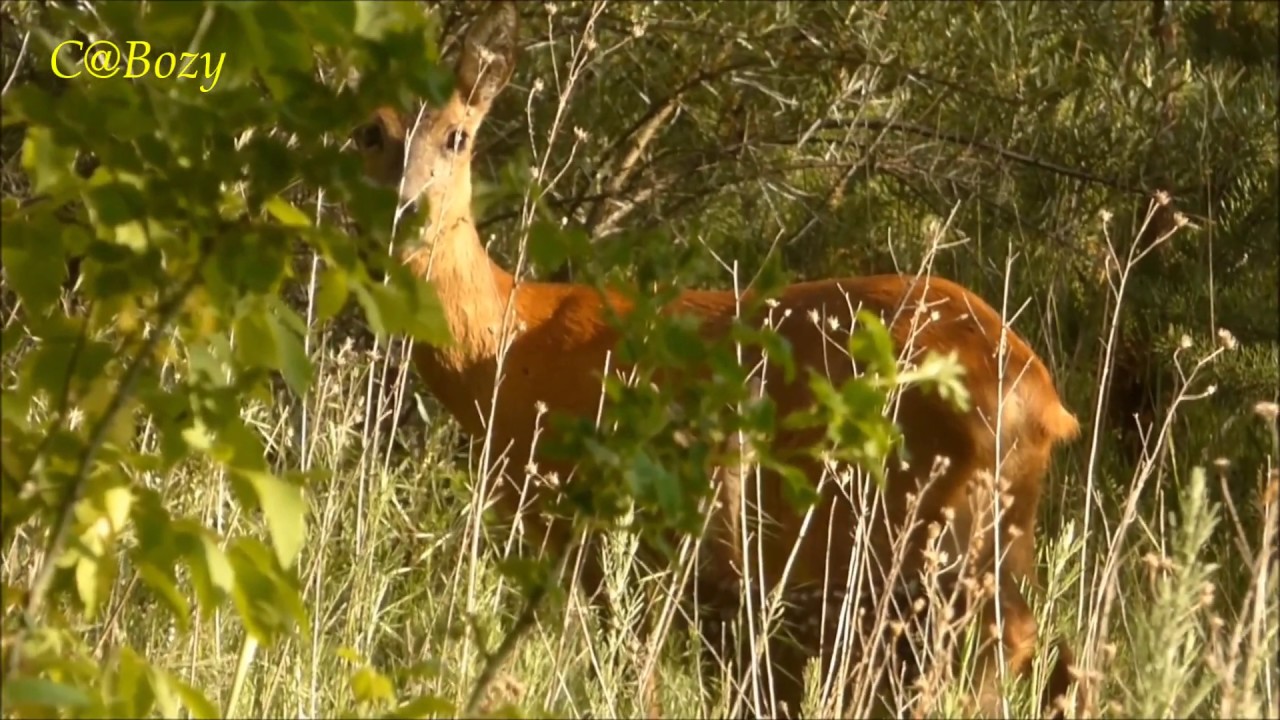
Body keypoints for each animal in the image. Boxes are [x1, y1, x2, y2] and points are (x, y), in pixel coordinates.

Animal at [351, 3, 1084, 718]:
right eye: (369, 132)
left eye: (457, 135)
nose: (405, 209)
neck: (508, 347)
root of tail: (1041, 398)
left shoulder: (643, 546)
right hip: (987, 532)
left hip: (901, 531)